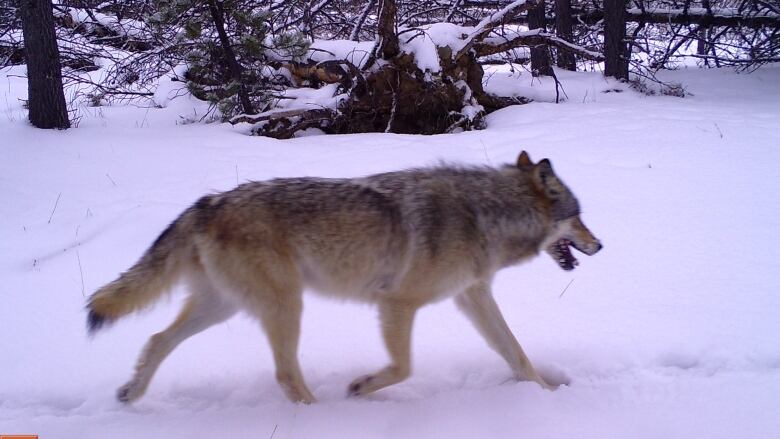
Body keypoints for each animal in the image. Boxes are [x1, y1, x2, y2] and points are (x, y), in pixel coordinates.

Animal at [90, 152, 604, 406]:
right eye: (579, 217)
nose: (600, 245)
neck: (485, 215)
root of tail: (207, 203)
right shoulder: (397, 303)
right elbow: (403, 367)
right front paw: (360, 388)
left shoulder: (471, 297)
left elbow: (517, 355)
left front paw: (547, 395)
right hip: (285, 306)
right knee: (285, 374)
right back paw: (318, 418)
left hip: (225, 307)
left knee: (157, 339)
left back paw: (131, 394)